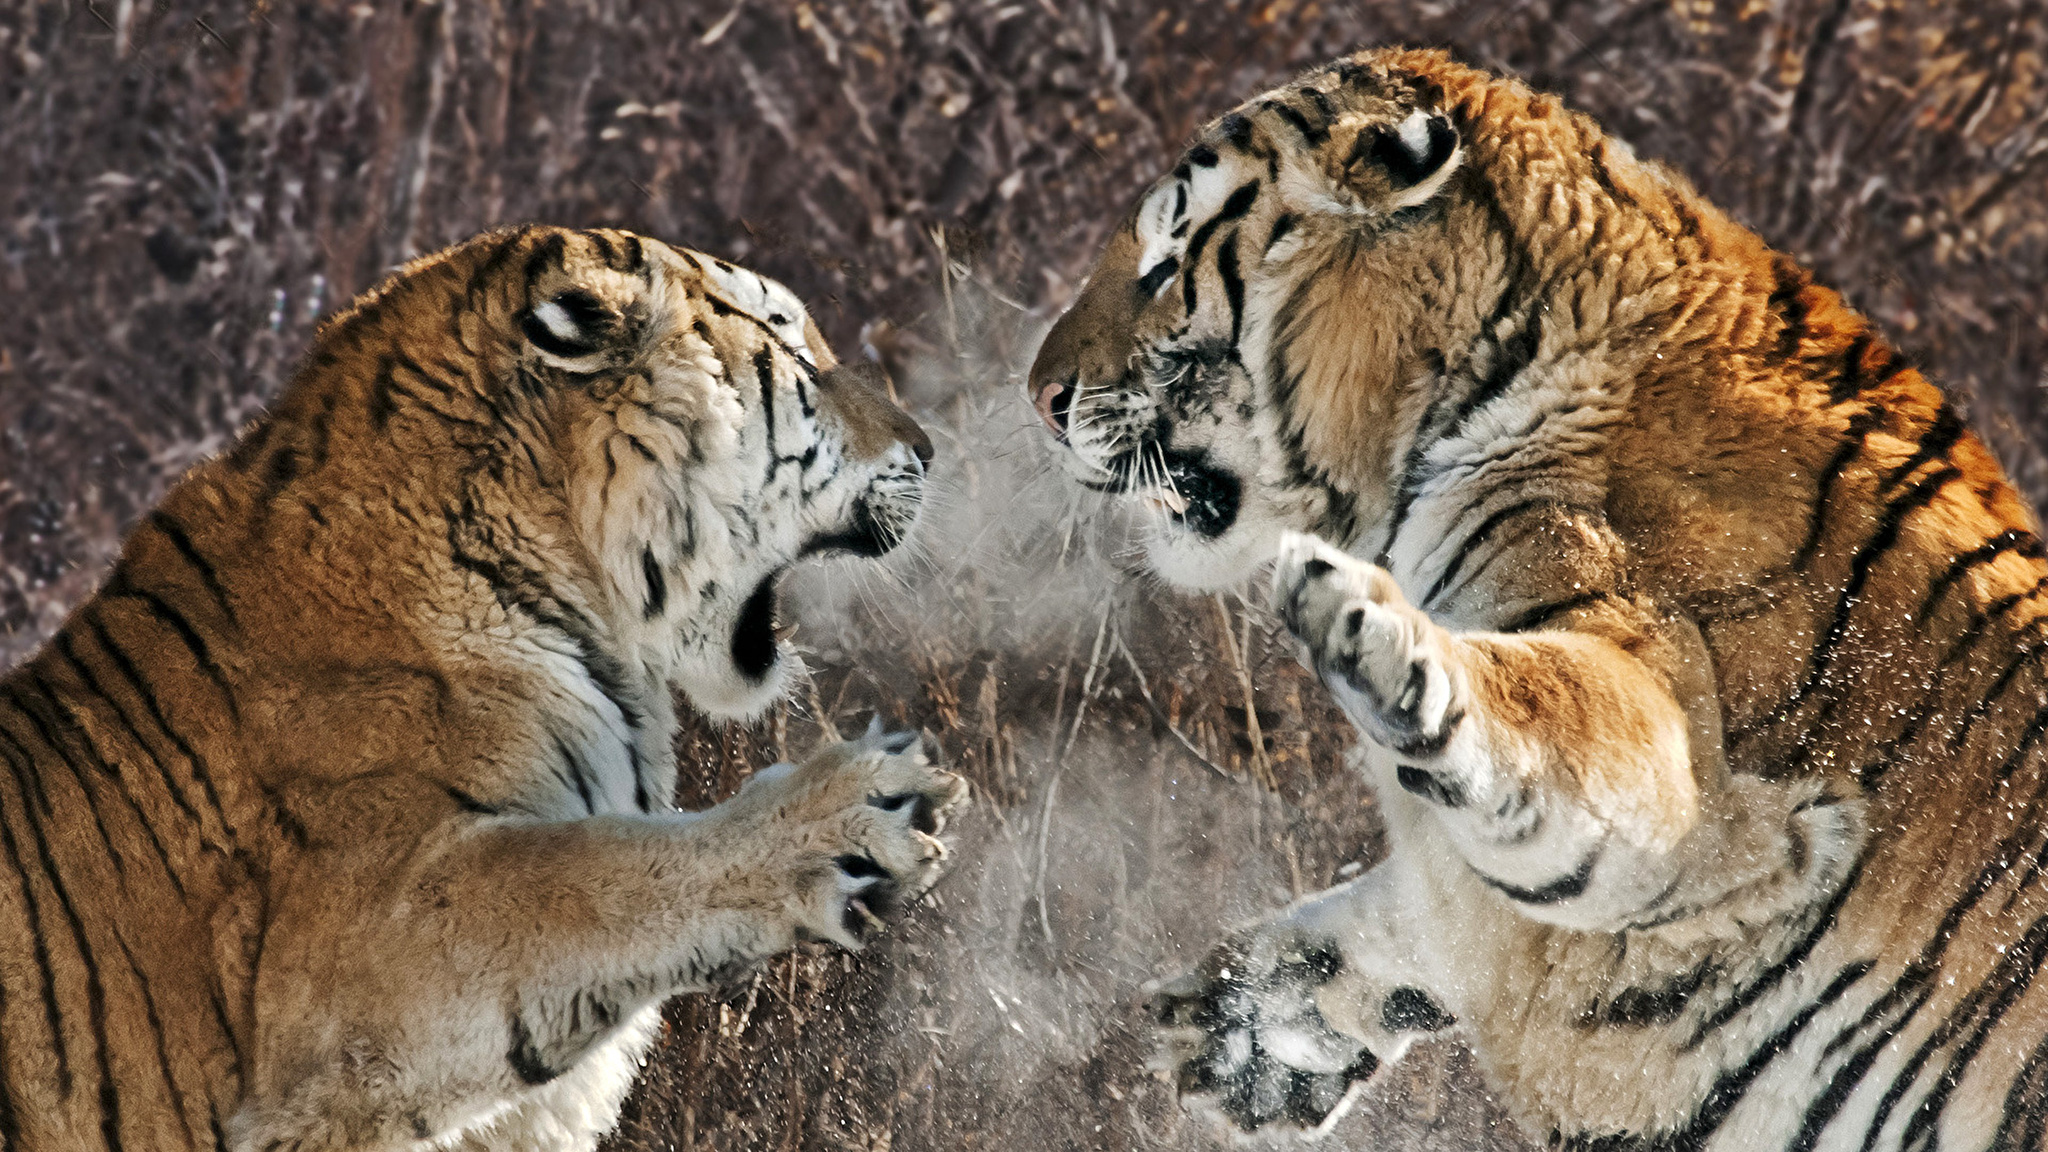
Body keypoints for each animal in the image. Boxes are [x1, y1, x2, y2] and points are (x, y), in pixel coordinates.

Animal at [1032, 44, 2048, 1147]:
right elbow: (1398, 910)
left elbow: (1540, 726)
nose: (1038, 399)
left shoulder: (1676, 753)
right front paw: (1232, 1024)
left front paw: (1371, 636)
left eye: (1165, 265)